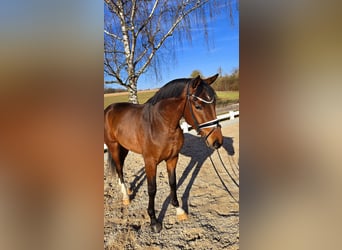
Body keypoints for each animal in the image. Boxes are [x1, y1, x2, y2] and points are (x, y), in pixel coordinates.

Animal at [103, 74, 222, 232]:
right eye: (198, 106)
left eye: (214, 104)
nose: (217, 141)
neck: (160, 124)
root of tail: (109, 109)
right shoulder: (150, 162)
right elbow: (152, 189)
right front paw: (154, 221)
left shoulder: (172, 158)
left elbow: (173, 183)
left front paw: (179, 211)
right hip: (114, 146)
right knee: (119, 169)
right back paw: (126, 198)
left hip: (124, 147)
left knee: (120, 167)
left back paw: (127, 191)